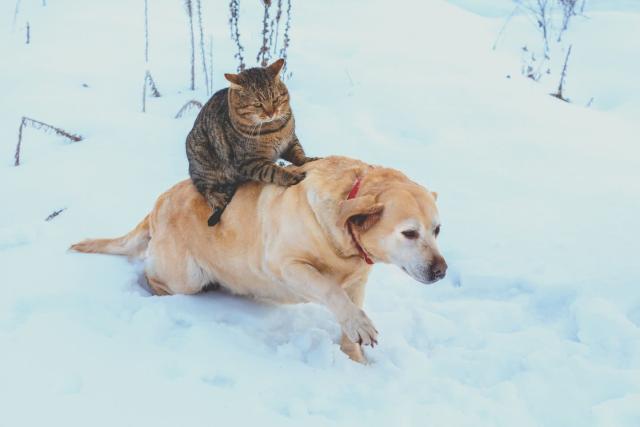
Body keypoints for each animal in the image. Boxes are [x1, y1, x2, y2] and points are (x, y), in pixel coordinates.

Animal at [71, 155, 444, 362]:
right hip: (184, 277)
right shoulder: (288, 265)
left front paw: (355, 359)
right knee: (153, 276)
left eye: (437, 230)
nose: (441, 270)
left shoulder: (358, 281)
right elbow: (330, 291)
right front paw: (359, 326)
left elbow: (347, 312)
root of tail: (155, 206)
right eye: (410, 233)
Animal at [185, 60, 318, 229]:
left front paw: (310, 159)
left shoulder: (290, 141)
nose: (271, 113)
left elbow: (299, 154)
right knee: (206, 191)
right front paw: (291, 176)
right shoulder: (249, 162)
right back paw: (218, 199)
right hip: (201, 159)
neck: (273, 128)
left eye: (275, 99)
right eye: (257, 104)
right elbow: (273, 171)